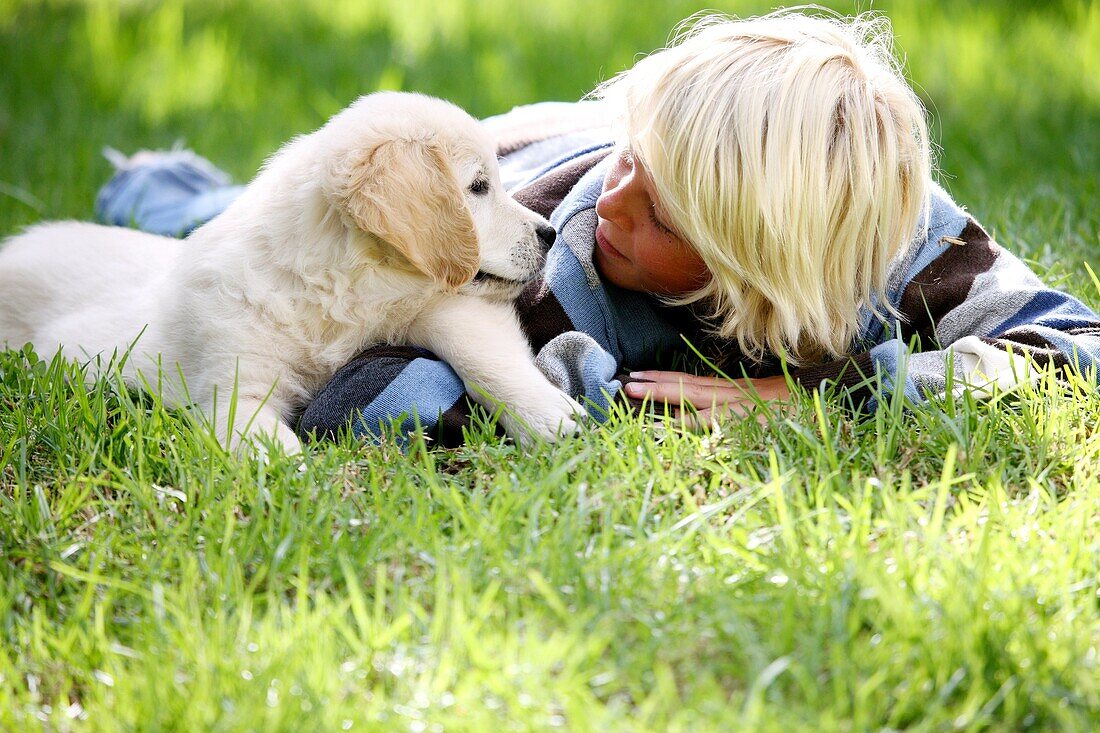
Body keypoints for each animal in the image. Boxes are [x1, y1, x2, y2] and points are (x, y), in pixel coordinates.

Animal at [0, 91, 585, 451]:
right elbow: (271, 446)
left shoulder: (442, 305)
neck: (335, 291)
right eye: (478, 187)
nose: (549, 234)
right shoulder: (236, 389)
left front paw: (548, 417)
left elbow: (481, 353)